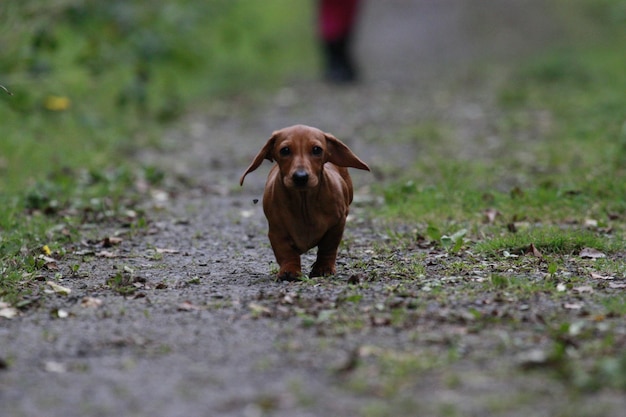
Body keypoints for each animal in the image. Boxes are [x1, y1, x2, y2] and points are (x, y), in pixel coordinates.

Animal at [238, 123, 366, 280]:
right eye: (285, 150)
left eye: (317, 149)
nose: (300, 177)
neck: (304, 203)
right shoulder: (276, 231)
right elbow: (285, 252)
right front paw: (289, 270)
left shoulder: (337, 224)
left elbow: (328, 247)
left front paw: (323, 267)